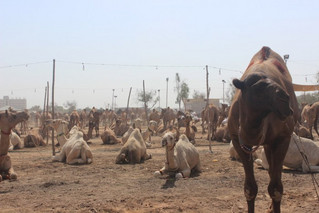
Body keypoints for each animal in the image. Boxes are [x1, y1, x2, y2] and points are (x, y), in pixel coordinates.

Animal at [229, 47, 302, 213]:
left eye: (274, 82)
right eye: (258, 87)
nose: (285, 98)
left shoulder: (282, 138)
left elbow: (276, 188)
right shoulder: (238, 140)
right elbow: (250, 189)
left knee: (275, 175)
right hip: (267, 145)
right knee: (271, 172)